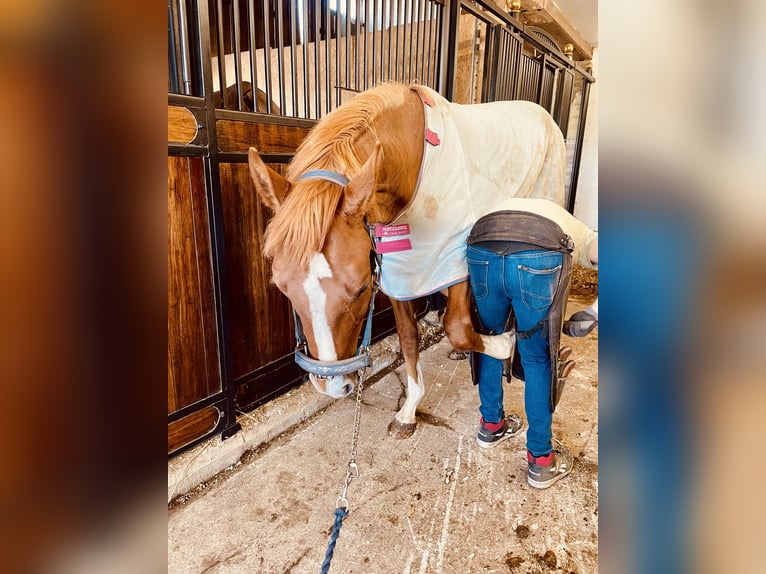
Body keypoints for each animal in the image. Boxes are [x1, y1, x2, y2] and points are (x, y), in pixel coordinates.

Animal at [247, 83, 565, 438]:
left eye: (360, 289)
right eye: (282, 288)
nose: (333, 386)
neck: (413, 160)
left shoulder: (452, 259)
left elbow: (456, 326)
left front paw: (506, 344)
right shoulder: (402, 270)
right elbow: (408, 336)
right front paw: (409, 410)